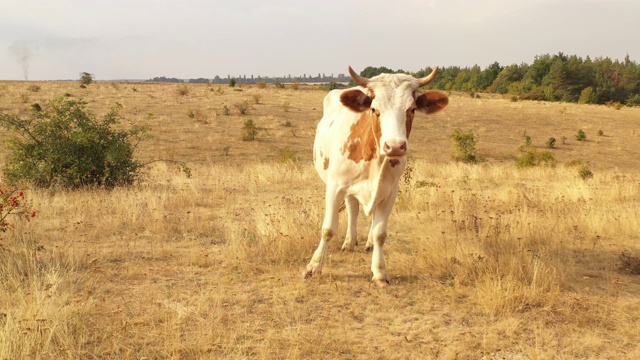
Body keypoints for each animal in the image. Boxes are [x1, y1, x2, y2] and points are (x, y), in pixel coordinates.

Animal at [304, 67, 450, 286]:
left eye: (412, 109)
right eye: (374, 109)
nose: (395, 146)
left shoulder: (389, 193)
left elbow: (380, 233)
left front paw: (379, 272)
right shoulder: (335, 187)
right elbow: (328, 228)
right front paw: (314, 267)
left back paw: (367, 243)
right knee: (352, 208)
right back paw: (349, 241)